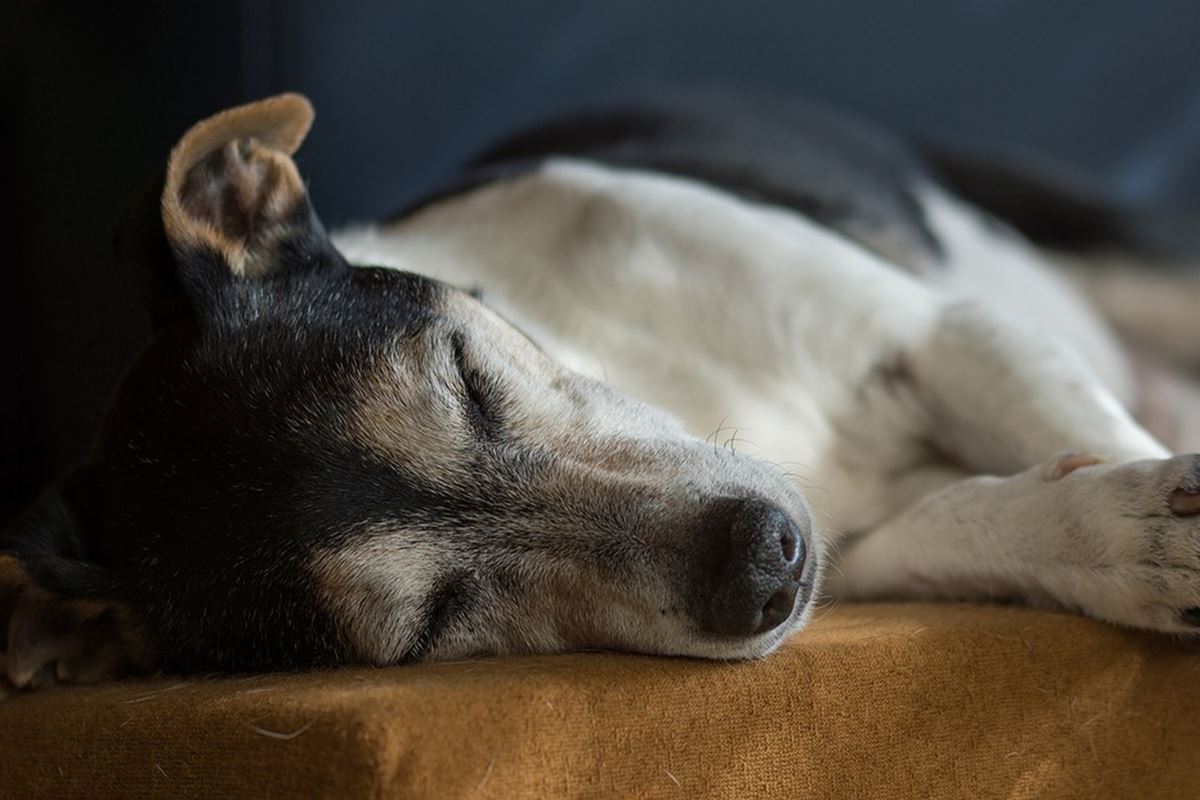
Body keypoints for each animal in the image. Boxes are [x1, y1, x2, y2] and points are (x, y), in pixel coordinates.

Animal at [2, 92, 1200, 690]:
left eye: (467, 375)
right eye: (435, 620)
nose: (765, 561)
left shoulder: (943, 336)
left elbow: (1082, 426)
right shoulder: (858, 558)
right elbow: (974, 519)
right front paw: (1130, 538)